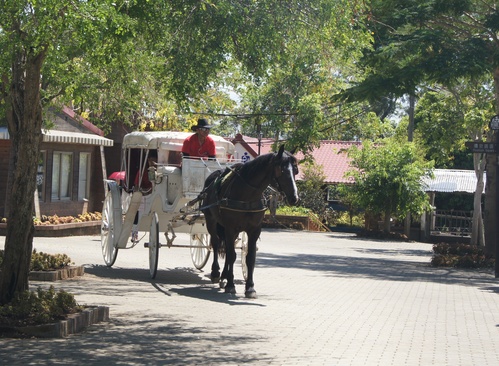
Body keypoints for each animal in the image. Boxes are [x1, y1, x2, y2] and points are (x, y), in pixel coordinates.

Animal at [200, 145, 300, 298]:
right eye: (281, 170)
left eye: (295, 170)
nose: (294, 198)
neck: (247, 195)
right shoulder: (230, 228)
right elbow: (231, 255)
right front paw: (231, 285)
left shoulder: (254, 230)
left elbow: (250, 257)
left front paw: (250, 287)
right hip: (211, 220)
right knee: (216, 243)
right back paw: (216, 272)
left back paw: (224, 276)